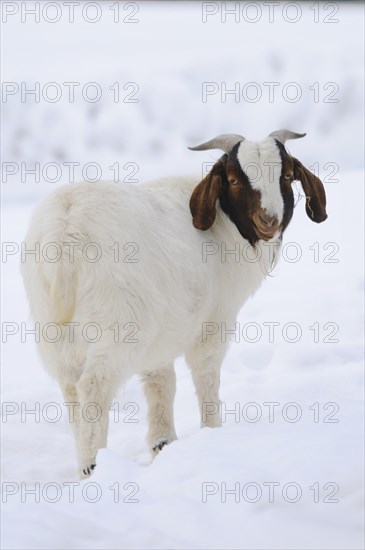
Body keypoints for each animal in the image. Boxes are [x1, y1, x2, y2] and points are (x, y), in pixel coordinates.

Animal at [21, 130, 326, 478]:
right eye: (233, 178)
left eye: (286, 175)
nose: (268, 220)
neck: (224, 227)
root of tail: (65, 228)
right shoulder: (213, 324)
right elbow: (205, 376)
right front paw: (212, 432)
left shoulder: (161, 336)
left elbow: (160, 382)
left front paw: (162, 443)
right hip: (117, 330)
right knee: (93, 389)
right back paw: (92, 464)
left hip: (57, 336)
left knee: (71, 390)